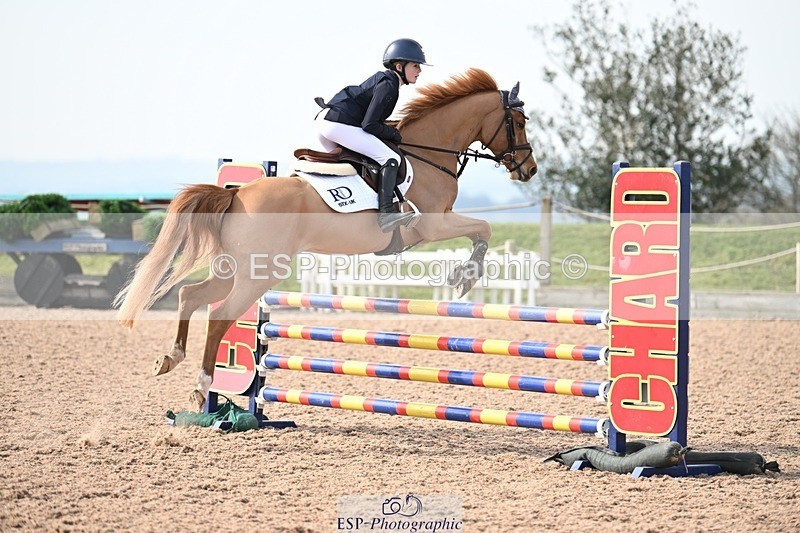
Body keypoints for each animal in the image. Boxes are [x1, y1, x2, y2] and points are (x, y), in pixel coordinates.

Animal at [114, 68, 538, 411]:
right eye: (518, 122)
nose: (529, 169)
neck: (429, 152)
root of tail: (237, 194)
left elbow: (482, 230)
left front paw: (463, 276)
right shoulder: (433, 225)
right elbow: (484, 229)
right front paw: (465, 277)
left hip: (237, 269)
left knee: (191, 295)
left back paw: (170, 359)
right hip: (258, 275)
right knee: (219, 315)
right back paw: (201, 388)